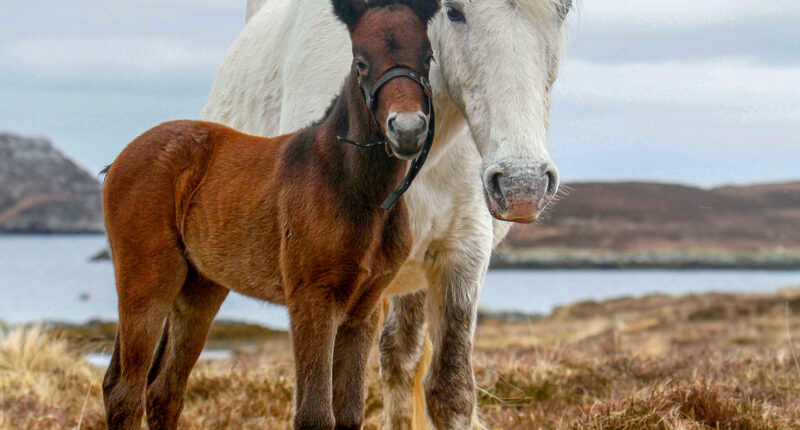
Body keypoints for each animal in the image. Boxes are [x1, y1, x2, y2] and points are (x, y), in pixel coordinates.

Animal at [101, 0, 438, 428]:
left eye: (427, 58)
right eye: (361, 61)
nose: (407, 130)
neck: (351, 186)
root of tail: (122, 158)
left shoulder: (364, 308)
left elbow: (349, 413)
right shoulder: (312, 300)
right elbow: (315, 415)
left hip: (199, 288)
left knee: (164, 390)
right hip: (147, 280)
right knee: (126, 390)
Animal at [203, 0, 572, 426]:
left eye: (563, 10)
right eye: (453, 10)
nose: (522, 185)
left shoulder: (462, 255)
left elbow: (450, 392)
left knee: (400, 359)